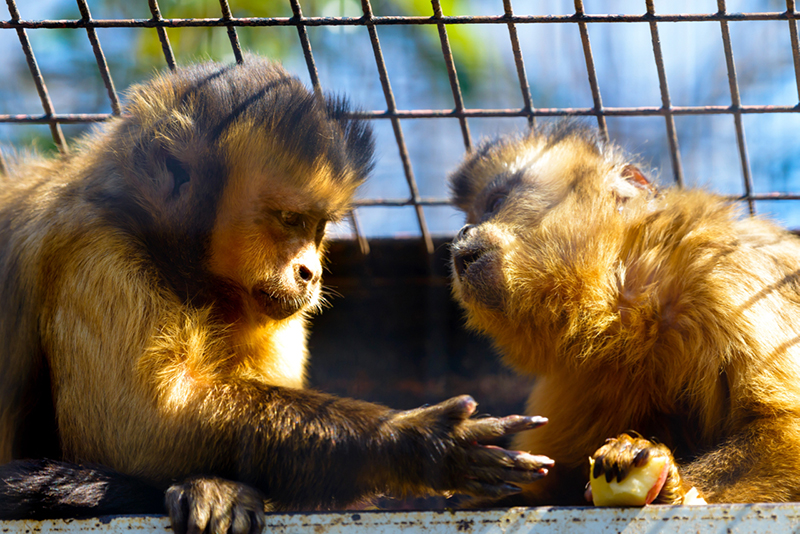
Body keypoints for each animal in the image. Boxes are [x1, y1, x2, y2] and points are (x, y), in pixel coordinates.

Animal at [0, 56, 552, 532]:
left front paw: (214, 488)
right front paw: (411, 444)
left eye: (319, 228)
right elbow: (136, 425)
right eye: (290, 220)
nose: (311, 270)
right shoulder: (96, 246)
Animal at [446, 122, 800, 510]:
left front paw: (671, 488)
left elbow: (787, 430)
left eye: (494, 204)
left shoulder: (727, 272)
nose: (463, 230)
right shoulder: (584, 372)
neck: (637, 304)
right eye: (470, 217)